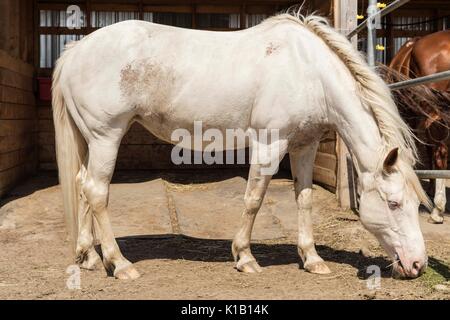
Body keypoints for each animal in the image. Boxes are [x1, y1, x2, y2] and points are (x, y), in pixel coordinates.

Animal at [52, 11, 432, 278]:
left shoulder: (304, 146)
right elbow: (253, 200)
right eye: (394, 203)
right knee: (98, 191)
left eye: (418, 205)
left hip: (89, 140)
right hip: (106, 137)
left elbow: (304, 199)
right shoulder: (270, 145)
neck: (308, 70)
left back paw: (88, 257)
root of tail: (76, 50)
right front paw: (245, 257)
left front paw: (312, 259)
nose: (417, 265)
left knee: (83, 186)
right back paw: (119, 264)